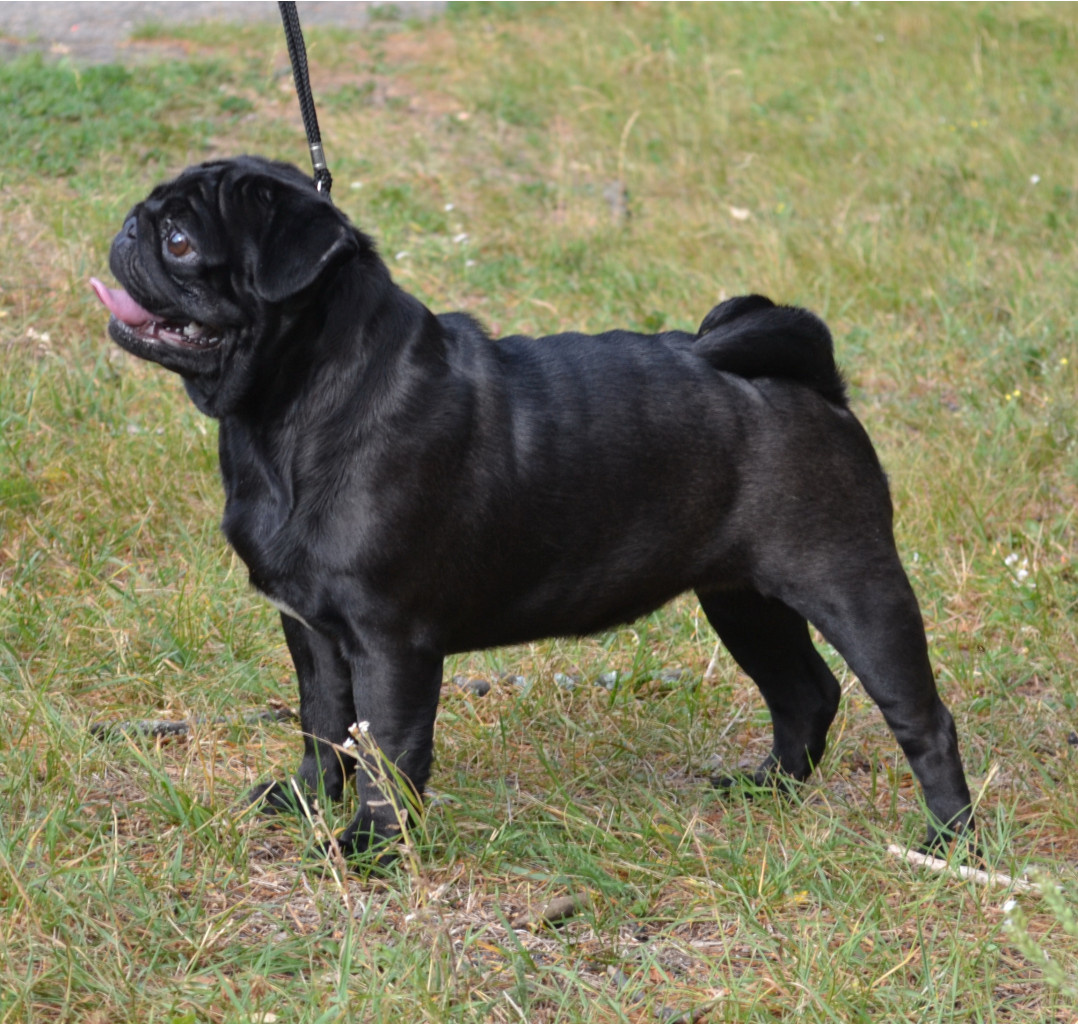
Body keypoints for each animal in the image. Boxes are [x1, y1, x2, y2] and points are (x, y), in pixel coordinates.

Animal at [91, 155, 973, 858]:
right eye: (151, 216)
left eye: (180, 241)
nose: (129, 226)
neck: (289, 412)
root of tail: (813, 379)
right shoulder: (311, 631)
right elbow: (324, 726)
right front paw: (307, 801)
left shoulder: (389, 640)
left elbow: (388, 749)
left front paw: (372, 846)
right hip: (742, 600)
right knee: (804, 694)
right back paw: (771, 791)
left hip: (852, 586)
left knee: (923, 718)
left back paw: (951, 841)